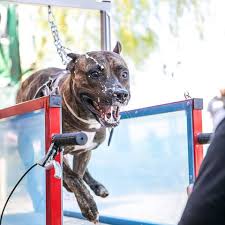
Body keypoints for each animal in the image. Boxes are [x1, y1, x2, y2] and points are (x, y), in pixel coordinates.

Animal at [16, 41, 130, 221]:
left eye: (124, 74)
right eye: (94, 73)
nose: (120, 94)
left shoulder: (85, 151)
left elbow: (79, 173)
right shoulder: (55, 149)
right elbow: (73, 177)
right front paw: (89, 207)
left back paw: (96, 185)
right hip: (26, 146)